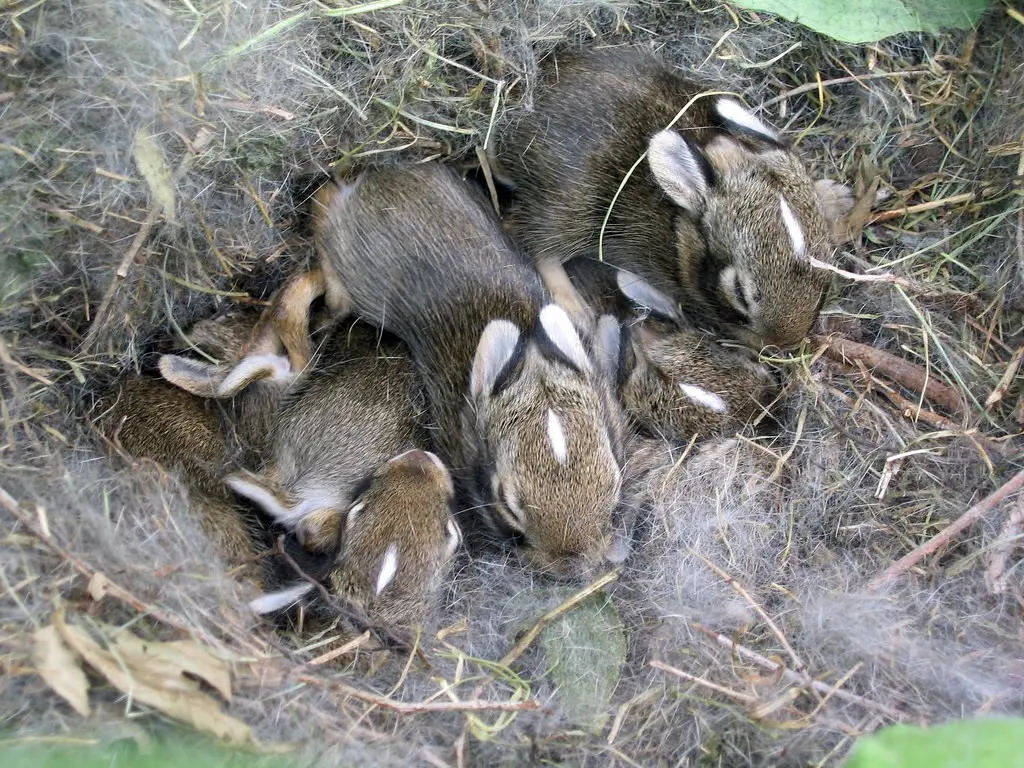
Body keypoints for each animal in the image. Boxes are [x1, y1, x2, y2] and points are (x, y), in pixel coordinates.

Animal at [495, 43, 856, 350]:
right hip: (569, 209)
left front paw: (835, 197)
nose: (784, 344)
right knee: (537, 243)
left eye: (827, 269)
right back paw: (576, 309)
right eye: (740, 294)